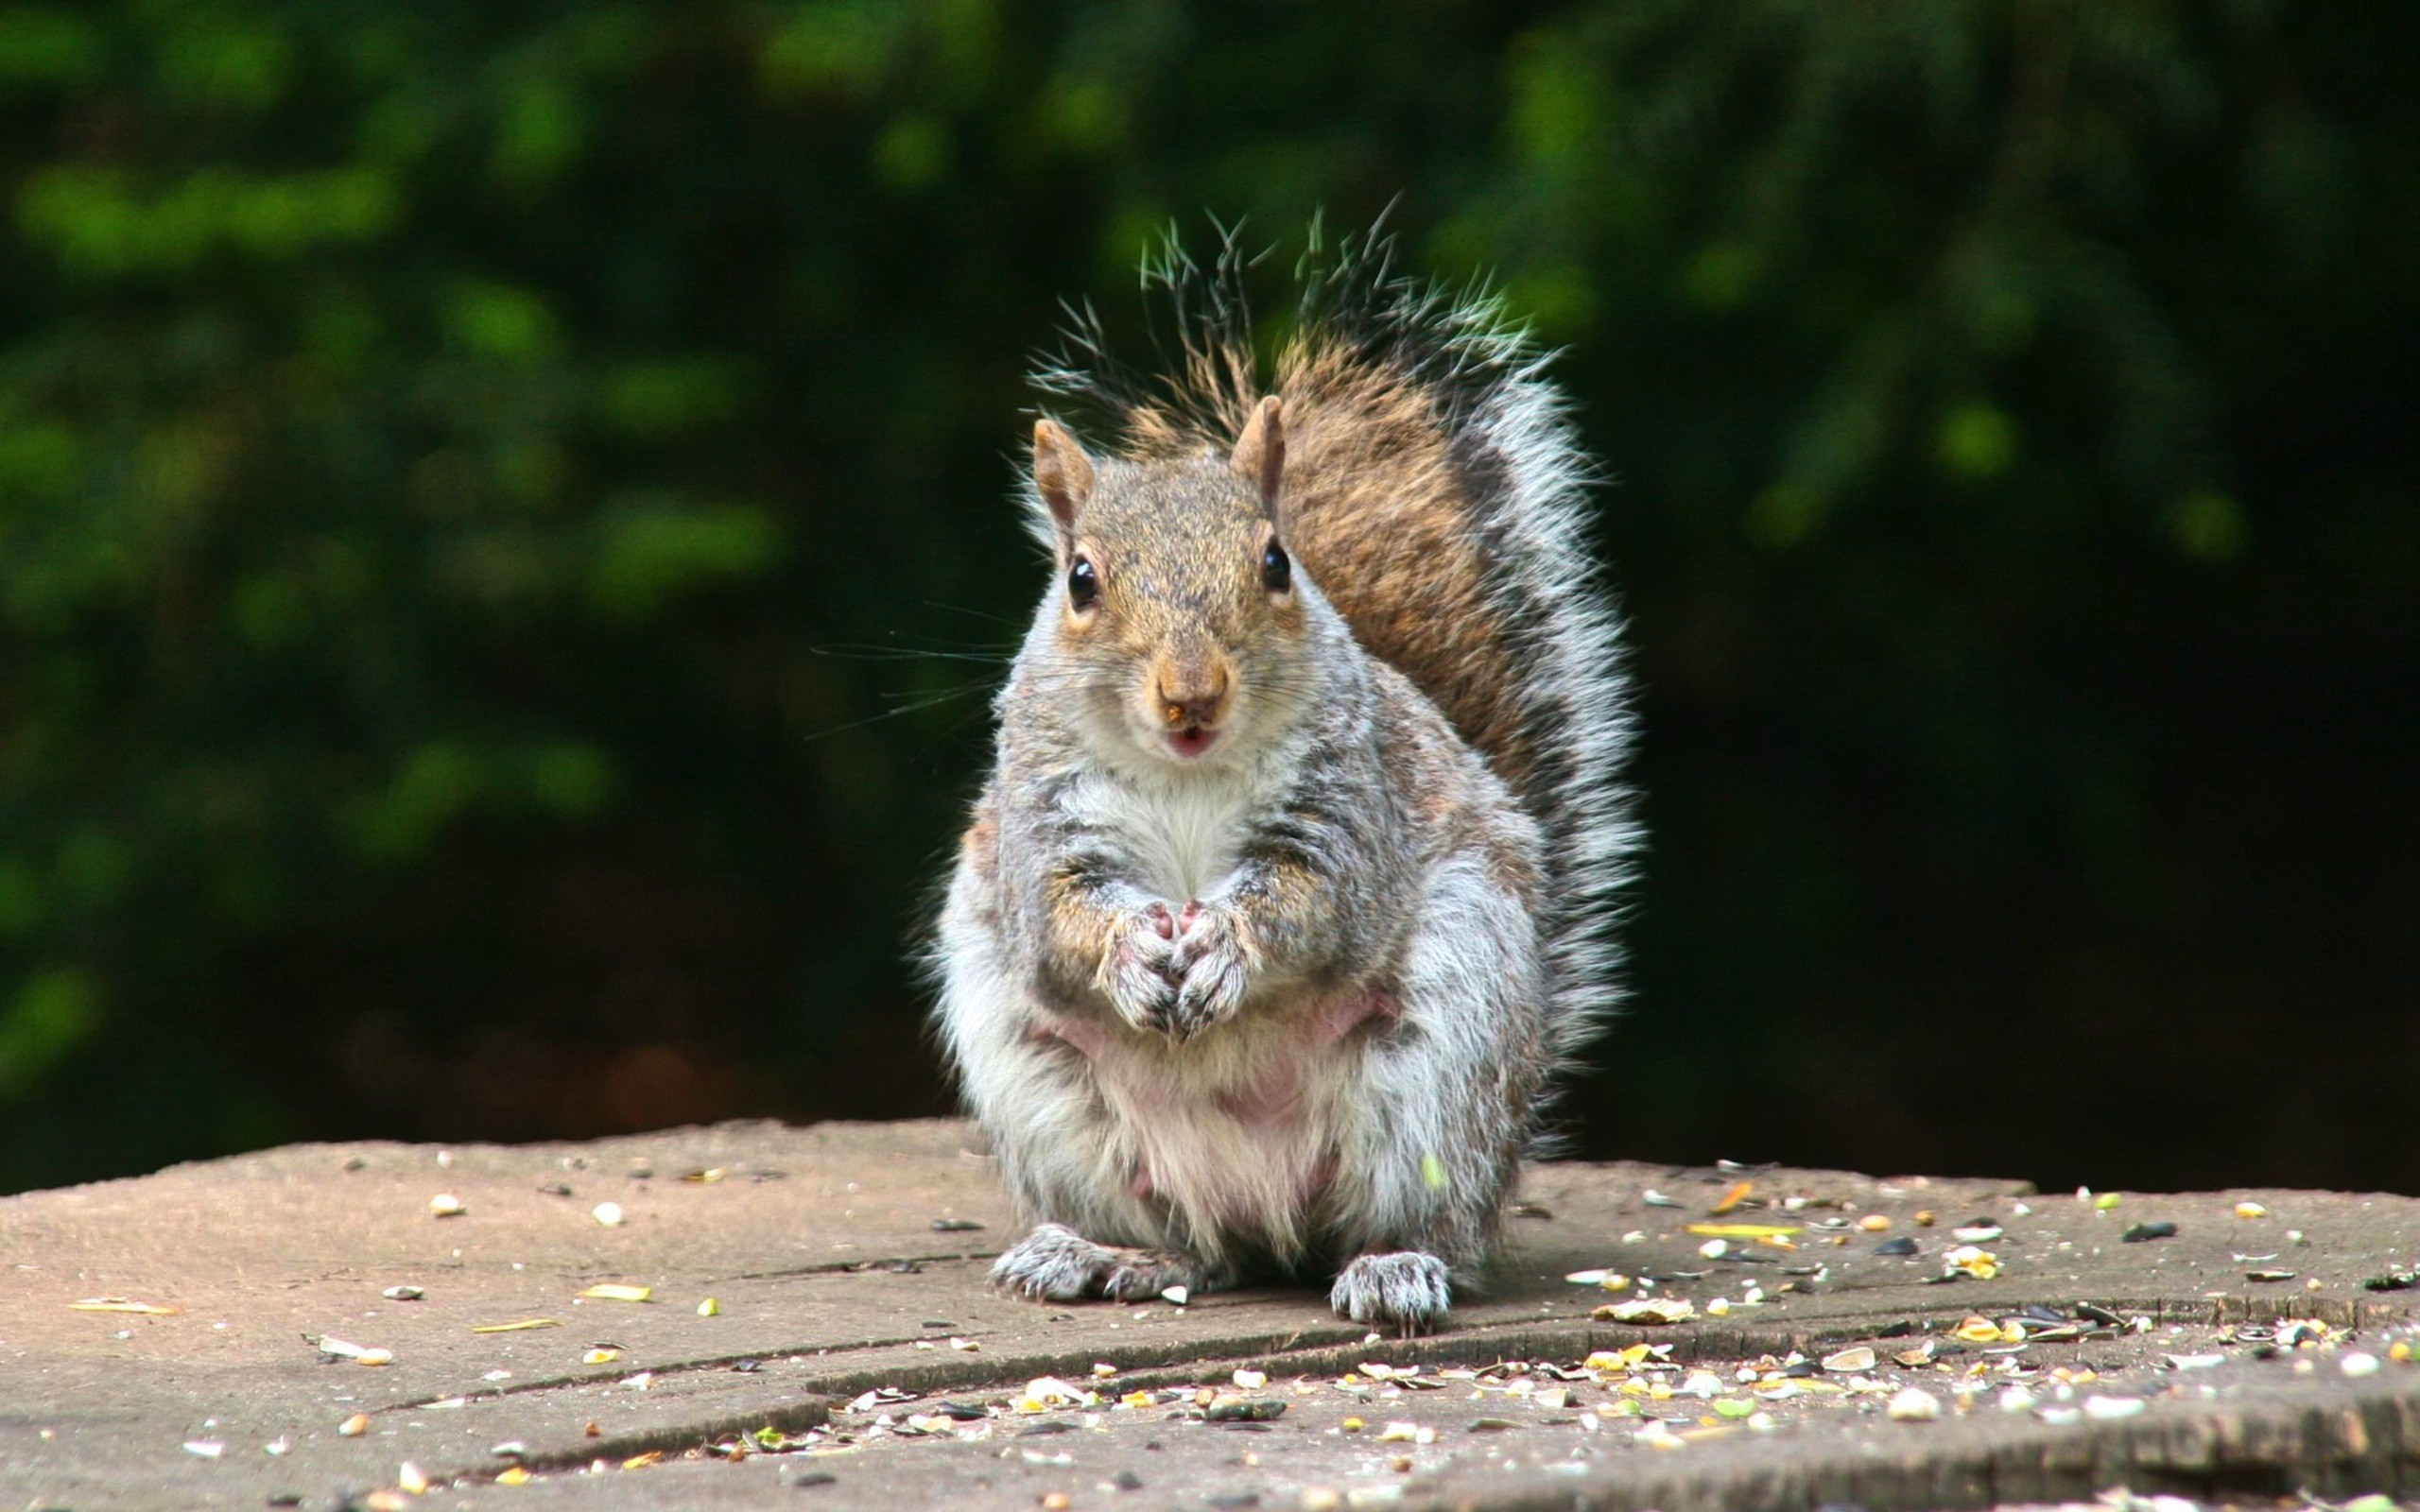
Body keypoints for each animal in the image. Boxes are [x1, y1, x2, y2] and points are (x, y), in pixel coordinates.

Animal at [934, 230, 1635, 1325]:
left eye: (1275, 563)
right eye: (1080, 580)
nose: (1191, 695)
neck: (1188, 774)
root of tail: (1261, 1207)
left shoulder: (1349, 805)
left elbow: (1314, 904)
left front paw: (1224, 944)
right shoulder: (1040, 827)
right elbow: (1059, 923)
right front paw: (1132, 951)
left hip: (1444, 1063)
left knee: (1414, 1220)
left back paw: (1395, 1266)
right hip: (1046, 1091)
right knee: (1200, 1249)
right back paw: (1102, 1253)